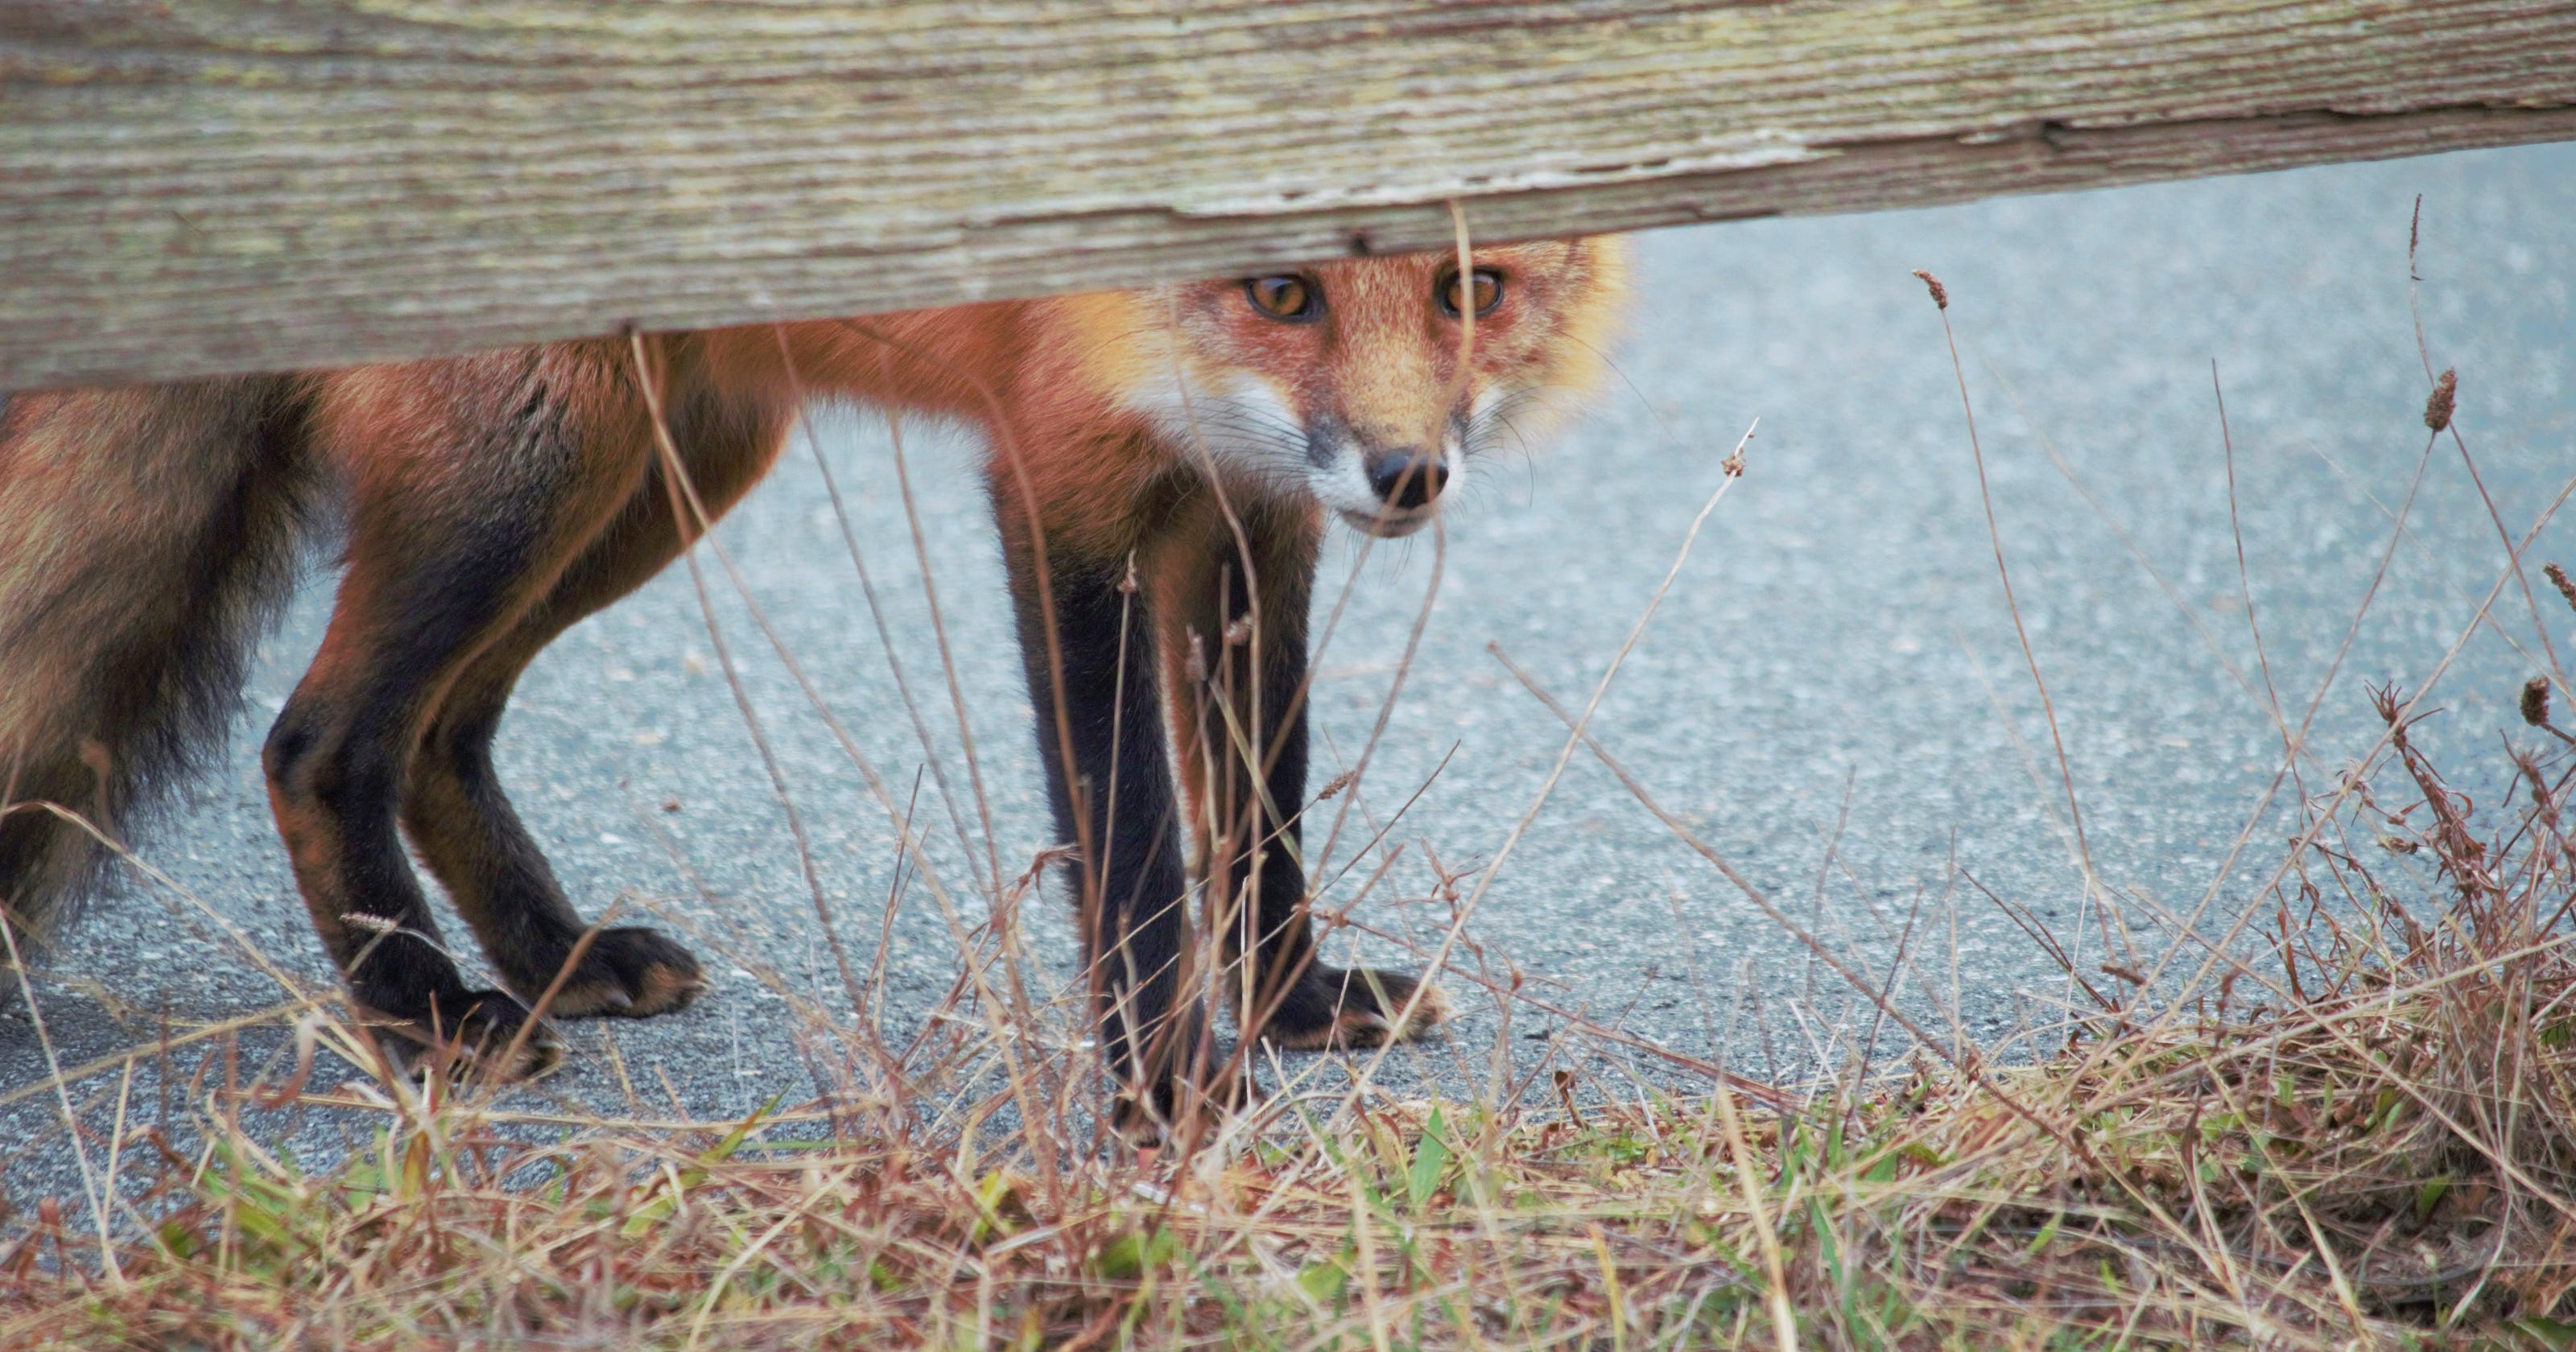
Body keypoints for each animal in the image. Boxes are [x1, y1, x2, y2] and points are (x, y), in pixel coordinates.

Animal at [0, 236, 1627, 1134]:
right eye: (1280, 291)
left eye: (1471, 286)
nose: (1406, 474)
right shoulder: (1062, 497)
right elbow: (1131, 843)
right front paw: (1166, 1088)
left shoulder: (1249, 522)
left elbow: (1258, 809)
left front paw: (1292, 1004)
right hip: (521, 482)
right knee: (320, 740)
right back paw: (432, 1014)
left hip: (662, 478)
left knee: (443, 733)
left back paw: (558, 955)